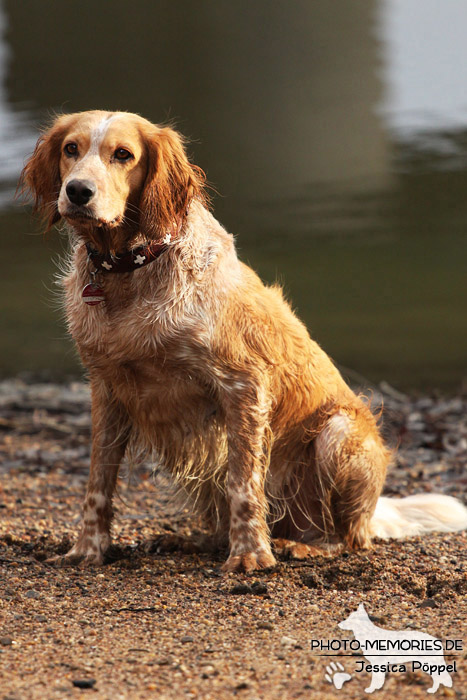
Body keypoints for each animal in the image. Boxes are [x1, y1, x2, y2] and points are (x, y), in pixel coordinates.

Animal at [21, 108, 467, 568]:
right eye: (71, 148)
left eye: (123, 154)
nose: (77, 191)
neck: (130, 270)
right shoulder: (107, 390)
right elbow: (98, 482)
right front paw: (86, 550)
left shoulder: (244, 386)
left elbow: (244, 484)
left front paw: (251, 555)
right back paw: (195, 541)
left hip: (338, 432)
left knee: (349, 537)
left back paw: (302, 545)